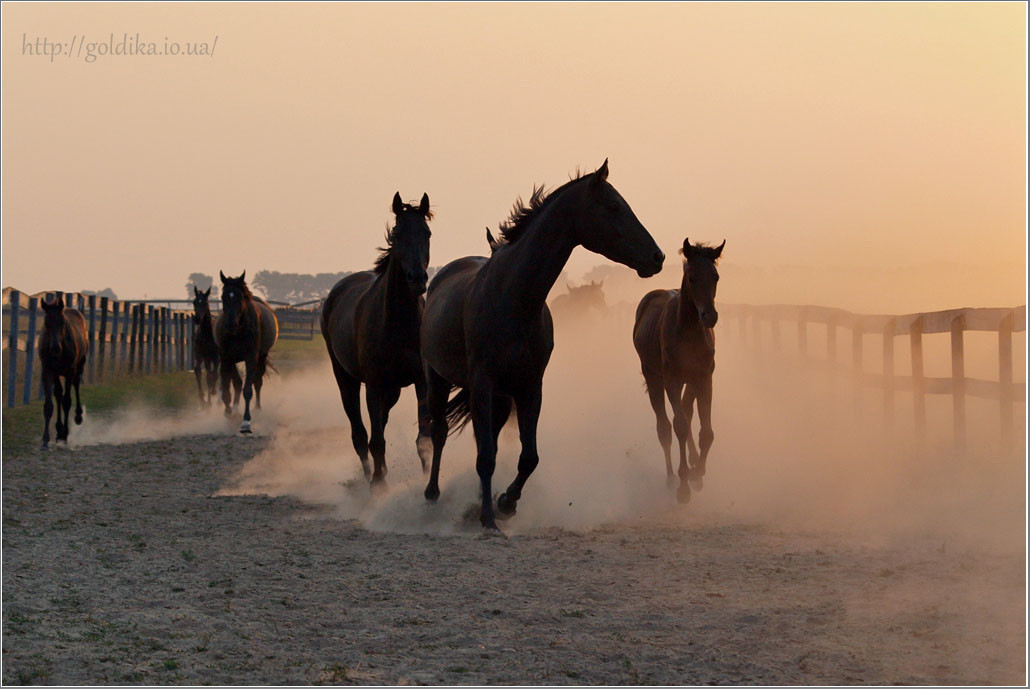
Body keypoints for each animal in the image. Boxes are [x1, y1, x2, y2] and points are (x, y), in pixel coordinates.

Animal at [37, 298, 88, 449]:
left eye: (62, 323)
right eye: (46, 323)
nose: (55, 348)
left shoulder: (69, 370)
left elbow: (67, 401)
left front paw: (65, 435)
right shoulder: (47, 371)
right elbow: (49, 405)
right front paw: (46, 439)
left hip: (79, 365)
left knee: (76, 385)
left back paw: (78, 417)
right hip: (57, 373)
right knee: (58, 393)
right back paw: (58, 431)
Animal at [214, 267, 278, 430]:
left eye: (240, 297)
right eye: (223, 297)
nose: (231, 324)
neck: (238, 332)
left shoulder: (251, 358)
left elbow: (248, 389)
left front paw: (246, 421)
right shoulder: (226, 359)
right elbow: (226, 391)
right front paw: (229, 413)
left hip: (261, 358)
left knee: (257, 382)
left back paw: (257, 409)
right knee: (237, 382)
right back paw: (235, 409)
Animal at [321, 190, 434, 486]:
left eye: (427, 232)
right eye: (397, 233)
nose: (417, 278)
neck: (398, 324)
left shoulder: (421, 382)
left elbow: (424, 439)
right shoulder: (373, 384)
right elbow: (376, 441)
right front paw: (378, 485)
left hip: (392, 390)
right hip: (346, 380)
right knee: (360, 435)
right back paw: (368, 478)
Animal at [422, 159, 663, 527]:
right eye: (613, 206)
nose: (657, 256)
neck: (513, 299)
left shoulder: (530, 385)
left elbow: (528, 456)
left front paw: (506, 503)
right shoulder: (482, 383)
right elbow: (486, 455)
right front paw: (489, 518)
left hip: (501, 396)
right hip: (437, 378)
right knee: (439, 432)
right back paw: (433, 495)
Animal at [630, 238, 729, 502]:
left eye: (715, 276)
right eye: (692, 277)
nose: (709, 316)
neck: (688, 331)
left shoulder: (704, 379)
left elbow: (706, 431)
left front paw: (698, 473)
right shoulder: (671, 381)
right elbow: (679, 427)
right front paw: (683, 485)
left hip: (690, 382)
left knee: (686, 410)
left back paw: (693, 464)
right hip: (654, 378)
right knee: (665, 426)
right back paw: (670, 477)